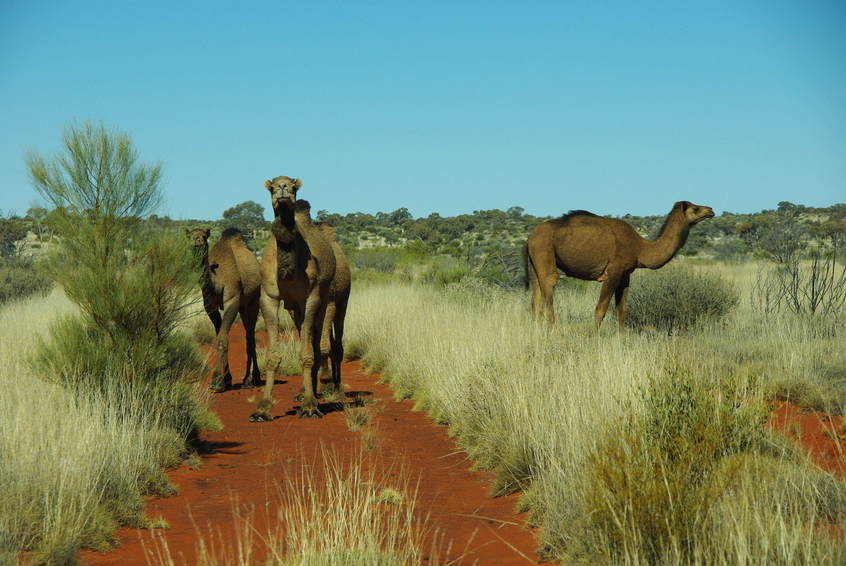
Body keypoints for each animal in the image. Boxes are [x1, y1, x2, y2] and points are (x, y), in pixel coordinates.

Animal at [188, 229, 262, 392]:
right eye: (190, 236)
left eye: (204, 236)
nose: (197, 241)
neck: (216, 282)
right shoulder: (210, 306)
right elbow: (219, 336)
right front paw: (226, 379)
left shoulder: (232, 300)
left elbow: (222, 340)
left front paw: (216, 381)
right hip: (243, 306)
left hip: (253, 301)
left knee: (250, 337)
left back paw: (252, 379)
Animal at [250, 178, 336, 422]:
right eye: (271, 187)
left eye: (293, 186)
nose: (282, 189)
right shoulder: (268, 297)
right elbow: (271, 356)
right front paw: (262, 409)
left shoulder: (311, 298)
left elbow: (307, 353)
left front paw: (309, 407)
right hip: (293, 309)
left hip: (323, 299)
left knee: (316, 341)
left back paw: (313, 395)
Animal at [524, 203, 716, 330]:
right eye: (695, 209)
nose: (711, 210)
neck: (640, 248)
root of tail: (530, 238)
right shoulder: (613, 272)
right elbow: (600, 309)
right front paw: (593, 337)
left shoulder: (625, 275)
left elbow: (622, 312)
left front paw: (622, 339)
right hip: (544, 251)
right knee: (549, 288)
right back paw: (552, 329)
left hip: (535, 263)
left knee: (535, 301)